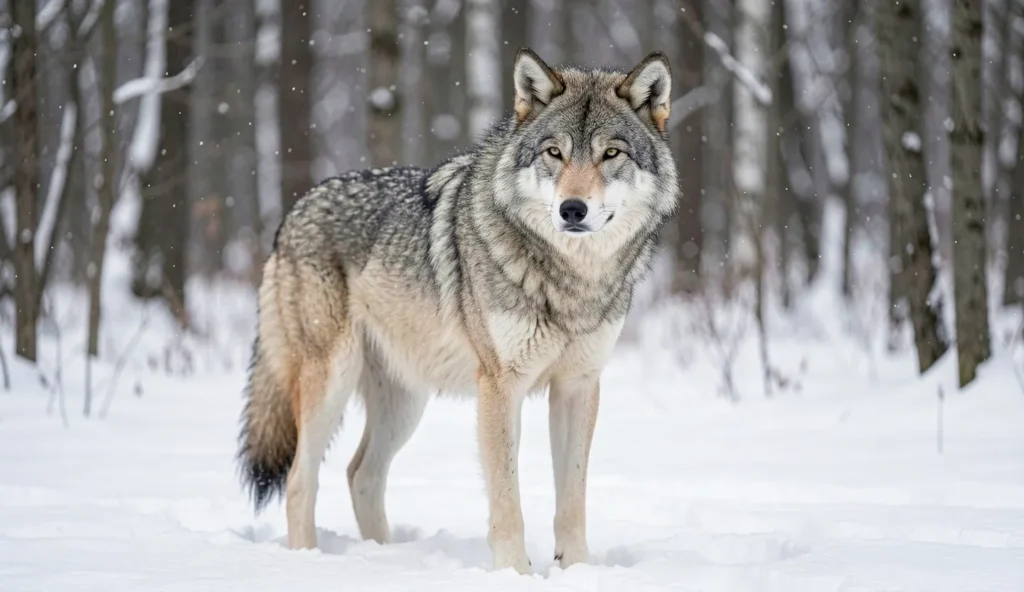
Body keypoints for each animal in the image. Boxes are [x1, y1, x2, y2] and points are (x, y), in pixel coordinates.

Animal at [236, 47, 678, 574]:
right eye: (554, 153)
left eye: (611, 154)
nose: (572, 209)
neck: (571, 281)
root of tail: (294, 210)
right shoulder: (500, 387)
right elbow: (507, 500)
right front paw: (515, 574)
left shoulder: (578, 385)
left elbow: (572, 499)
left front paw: (577, 571)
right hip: (331, 383)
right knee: (300, 481)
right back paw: (310, 562)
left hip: (405, 403)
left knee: (360, 474)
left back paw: (382, 557)